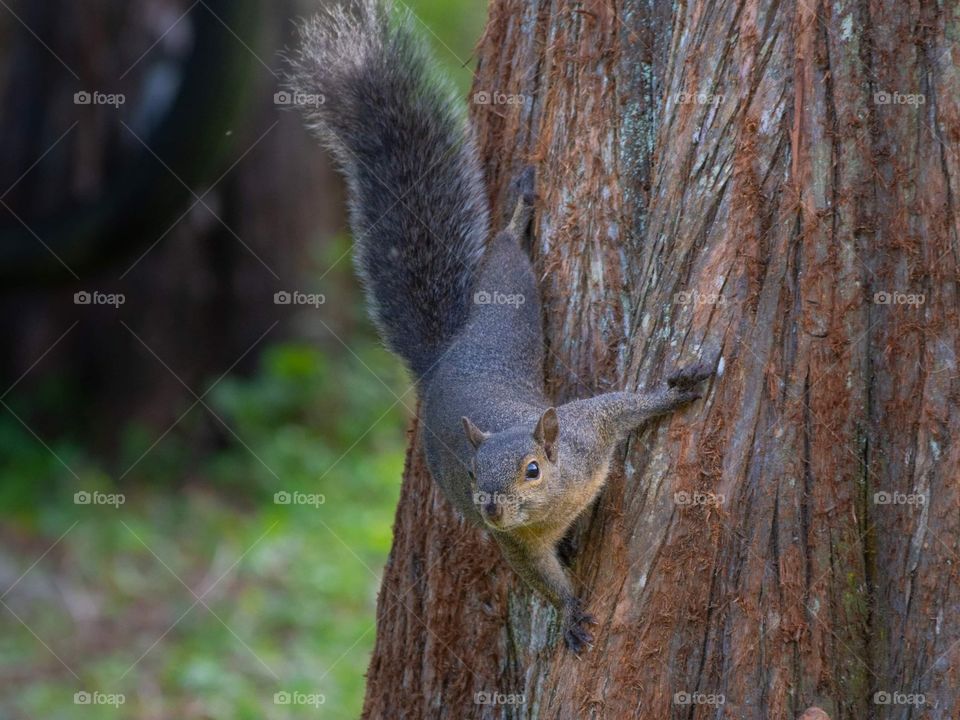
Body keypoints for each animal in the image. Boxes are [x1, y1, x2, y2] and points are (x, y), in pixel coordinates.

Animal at [286, 0, 715, 653]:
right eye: (471, 472)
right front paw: (570, 610)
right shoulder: (515, 545)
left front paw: (675, 390)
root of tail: (444, 359)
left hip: (507, 310)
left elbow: (622, 407)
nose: (489, 508)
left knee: (508, 256)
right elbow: (537, 577)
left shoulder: (586, 431)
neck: (556, 500)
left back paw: (517, 215)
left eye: (533, 469)